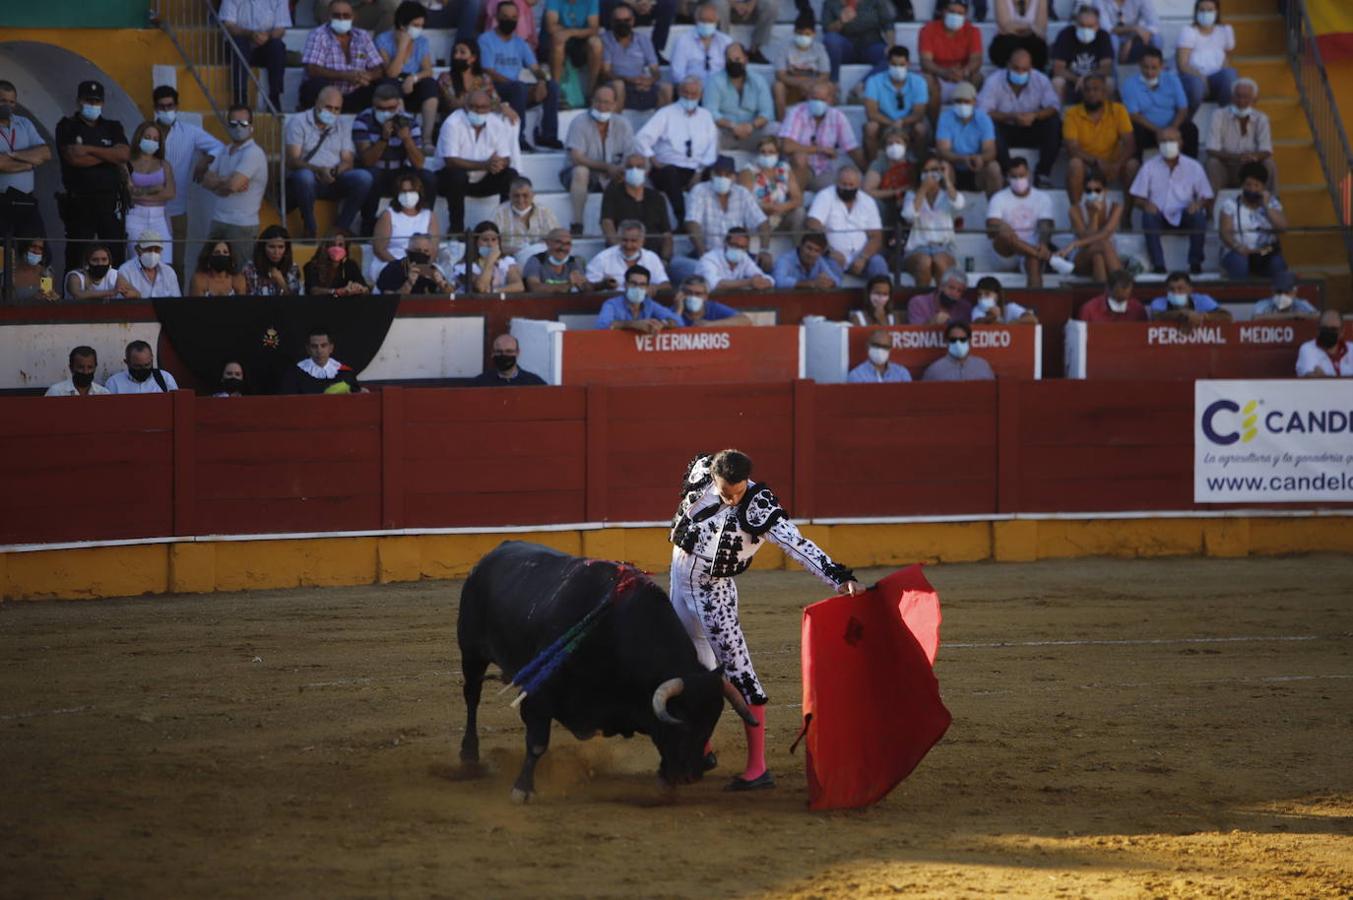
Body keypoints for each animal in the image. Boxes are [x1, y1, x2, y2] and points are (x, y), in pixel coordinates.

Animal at [460, 541, 757, 801]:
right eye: (681, 719)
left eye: (712, 722)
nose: (693, 773)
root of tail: (494, 553)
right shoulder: (539, 694)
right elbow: (536, 742)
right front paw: (522, 789)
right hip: (471, 653)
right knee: (472, 697)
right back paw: (469, 757)